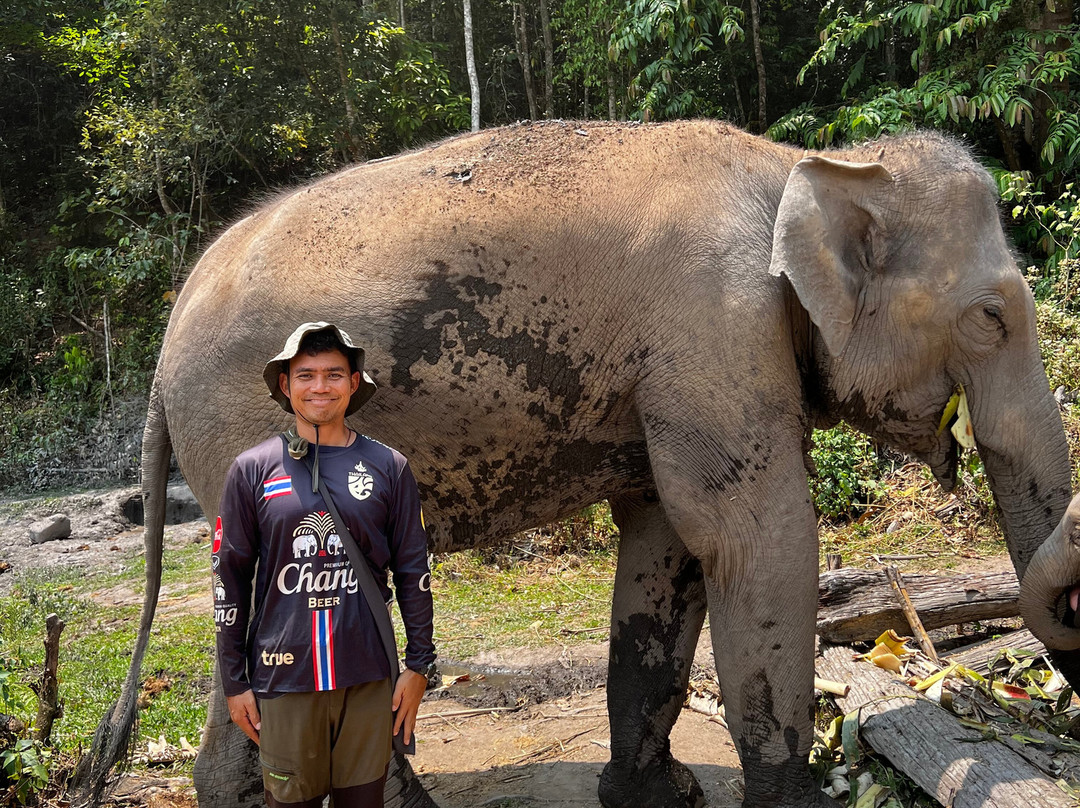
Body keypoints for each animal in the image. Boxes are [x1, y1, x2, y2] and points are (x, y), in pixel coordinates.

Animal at [73, 120, 1076, 808]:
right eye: (991, 318)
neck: (799, 162)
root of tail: (163, 351)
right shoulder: (713, 328)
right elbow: (756, 538)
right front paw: (791, 801)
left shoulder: (679, 369)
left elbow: (669, 549)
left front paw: (657, 798)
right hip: (248, 425)